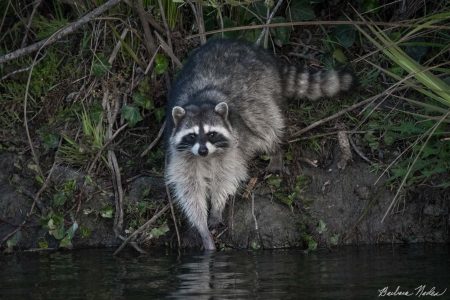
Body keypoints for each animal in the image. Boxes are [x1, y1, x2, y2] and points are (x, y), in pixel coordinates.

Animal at [165, 38, 356, 251]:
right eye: (191, 136)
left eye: (211, 134)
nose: (203, 150)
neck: (200, 100)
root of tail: (254, 49)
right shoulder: (182, 155)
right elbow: (190, 189)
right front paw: (201, 227)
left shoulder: (233, 145)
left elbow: (227, 176)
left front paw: (217, 206)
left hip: (261, 89)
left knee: (267, 122)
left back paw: (275, 150)